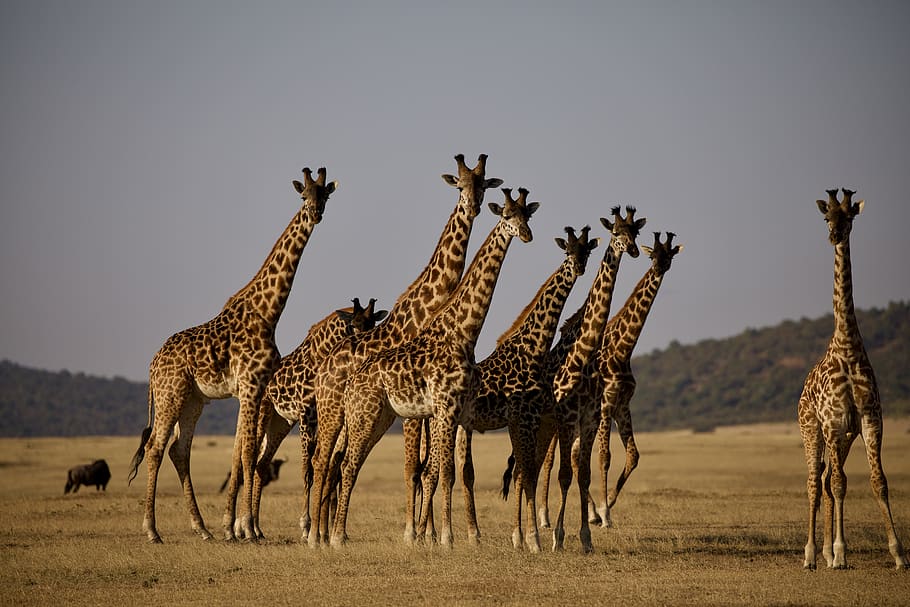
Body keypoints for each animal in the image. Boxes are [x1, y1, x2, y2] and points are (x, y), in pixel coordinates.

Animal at [127, 167, 337, 543]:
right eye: (303, 196)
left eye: (324, 195)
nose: (315, 214)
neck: (268, 312)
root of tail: (152, 365)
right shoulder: (251, 386)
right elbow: (248, 453)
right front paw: (244, 528)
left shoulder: (250, 389)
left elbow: (242, 454)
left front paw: (236, 528)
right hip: (170, 394)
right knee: (154, 447)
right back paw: (152, 531)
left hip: (193, 400)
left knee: (179, 450)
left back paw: (202, 528)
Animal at [243, 297, 388, 540]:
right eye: (353, 325)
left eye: (372, 324)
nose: (366, 346)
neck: (319, 356)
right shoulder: (306, 414)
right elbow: (307, 469)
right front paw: (306, 526)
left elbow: (331, 464)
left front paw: (330, 529)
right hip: (264, 411)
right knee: (253, 458)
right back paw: (246, 527)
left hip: (280, 422)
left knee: (262, 464)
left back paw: (257, 528)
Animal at [315, 187, 538, 549]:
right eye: (507, 216)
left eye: (527, 216)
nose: (527, 235)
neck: (464, 332)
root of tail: (350, 384)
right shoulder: (445, 409)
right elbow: (444, 471)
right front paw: (446, 538)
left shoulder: (458, 411)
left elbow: (446, 471)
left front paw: (445, 535)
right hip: (361, 415)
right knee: (344, 465)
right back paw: (334, 537)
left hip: (380, 418)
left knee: (349, 465)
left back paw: (336, 534)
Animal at [798, 188, 907, 570]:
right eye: (826, 216)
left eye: (849, 217)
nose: (834, 235)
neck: (847, 347)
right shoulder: (832, 423)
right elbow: (840, 484)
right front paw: (840, 553)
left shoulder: (870, 419)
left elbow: (878, 481)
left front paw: (898, 554)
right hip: (812, 429)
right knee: (815, 482)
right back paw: (812, 555)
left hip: (844, 438)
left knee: (828, 479)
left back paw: (827, 553)